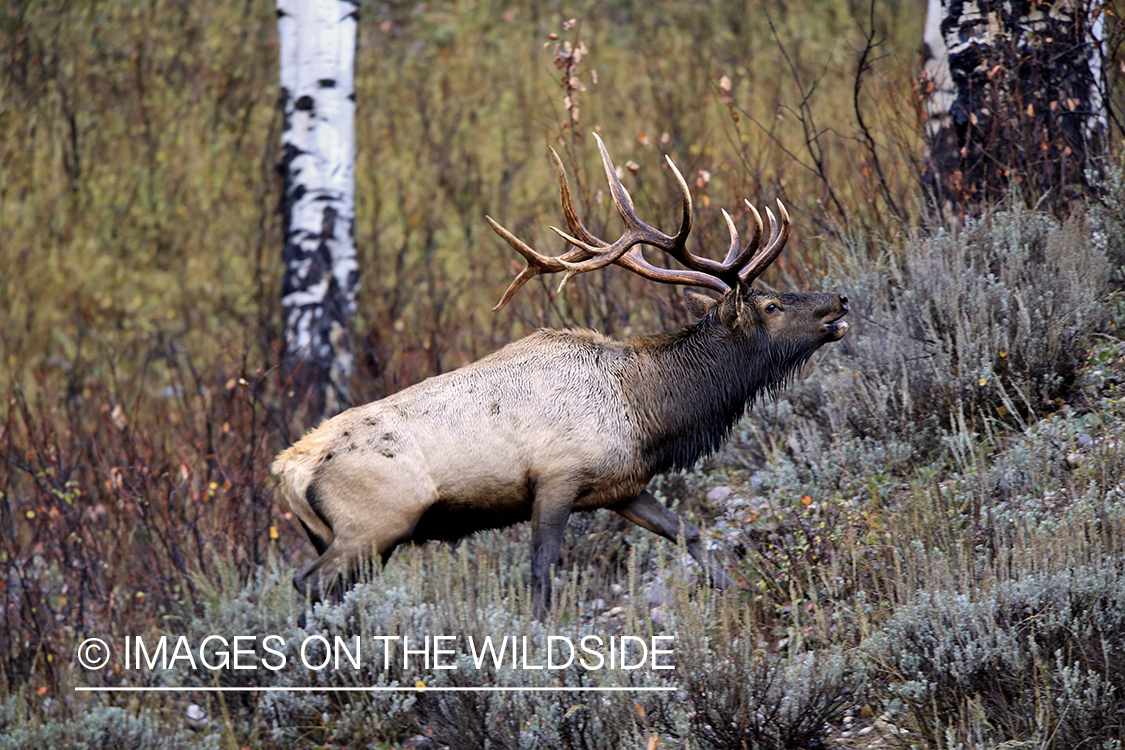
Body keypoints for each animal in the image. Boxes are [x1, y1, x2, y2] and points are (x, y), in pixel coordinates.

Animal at [274, 136, 850, 620]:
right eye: (772, 306)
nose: (840, 299)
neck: (650, 413)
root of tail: (288, 470)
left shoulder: (623, 487)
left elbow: (690, 533)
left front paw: (750, 596)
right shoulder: (556, 478)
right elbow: (542, 571)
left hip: (349, 538)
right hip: (374, 525)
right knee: (306, 584)